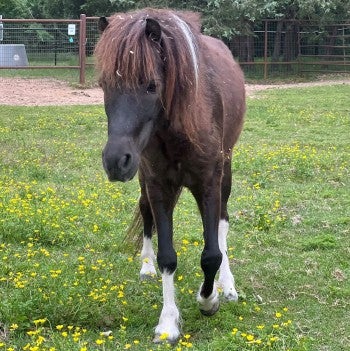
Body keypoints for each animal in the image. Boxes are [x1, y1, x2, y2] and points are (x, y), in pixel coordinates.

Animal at [94, 7, 245, 344]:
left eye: (151, 85)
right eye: (104, 84)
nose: (115, 161)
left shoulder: (208, 183)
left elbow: (211, 253)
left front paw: (209, 299)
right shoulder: (158, 184)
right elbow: (167, 256)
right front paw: (167, 322)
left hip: (225, 172)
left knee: (223, 223)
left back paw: (227, 285)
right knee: (145, 212)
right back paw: (146, 266)